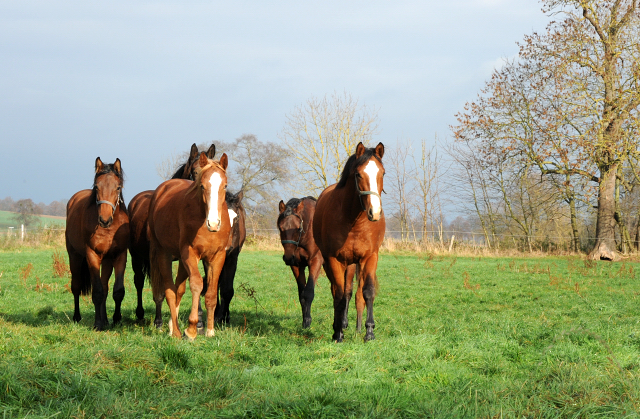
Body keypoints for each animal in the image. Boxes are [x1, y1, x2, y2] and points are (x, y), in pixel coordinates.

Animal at [65, 158, 129, 332]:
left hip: (106, 260)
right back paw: (77, 317)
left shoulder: (120, 255)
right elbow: (97, 292)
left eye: (118, 187)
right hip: (74, 256)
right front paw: (98, 324)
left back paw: (106, 319)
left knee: (106, 286)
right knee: (76, 286)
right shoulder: (92, 255)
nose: (104, 220)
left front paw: (116, 319)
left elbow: (117, 291)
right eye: (96, 187)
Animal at [127, 143, 215, 324]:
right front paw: (159, 321)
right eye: (194, 172)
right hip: (136, 257)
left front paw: (199, 318)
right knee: (139, 281)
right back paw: (140, 314)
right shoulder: (160, 256)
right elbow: (161, 287)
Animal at [148, 153, 232, 340]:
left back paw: (172, 326)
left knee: (178, 289)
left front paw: (210, 330)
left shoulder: (218, 256)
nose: (213, 223)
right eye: (202, 186)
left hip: (181, 261)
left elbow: (211, 293)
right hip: (163, 254)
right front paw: (192, 328)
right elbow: (197, 284)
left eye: (224, 186)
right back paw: (177, 332)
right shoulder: (191, 254)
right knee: (170, 291)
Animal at [278, 195, 324, 330]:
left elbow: (308, 292)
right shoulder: (296, 265)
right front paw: (305, 320)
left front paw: (308, 321)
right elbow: (301, 294)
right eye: (280, 228)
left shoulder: (315, 261)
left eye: (298, 228)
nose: (288, 258)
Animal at [312, 143, 384, 342]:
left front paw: (369, 332)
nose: (374, 212)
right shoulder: (334, 260)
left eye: (382, 173)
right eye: (358, 174)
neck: (354, 222)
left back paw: (356, 327)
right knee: (339, 292)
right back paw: (339, 325)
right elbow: (339, 295)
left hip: (353, 264)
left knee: (353, 292)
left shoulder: (370, 257)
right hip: (336, 263)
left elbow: (367, 292)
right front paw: (338, 333)